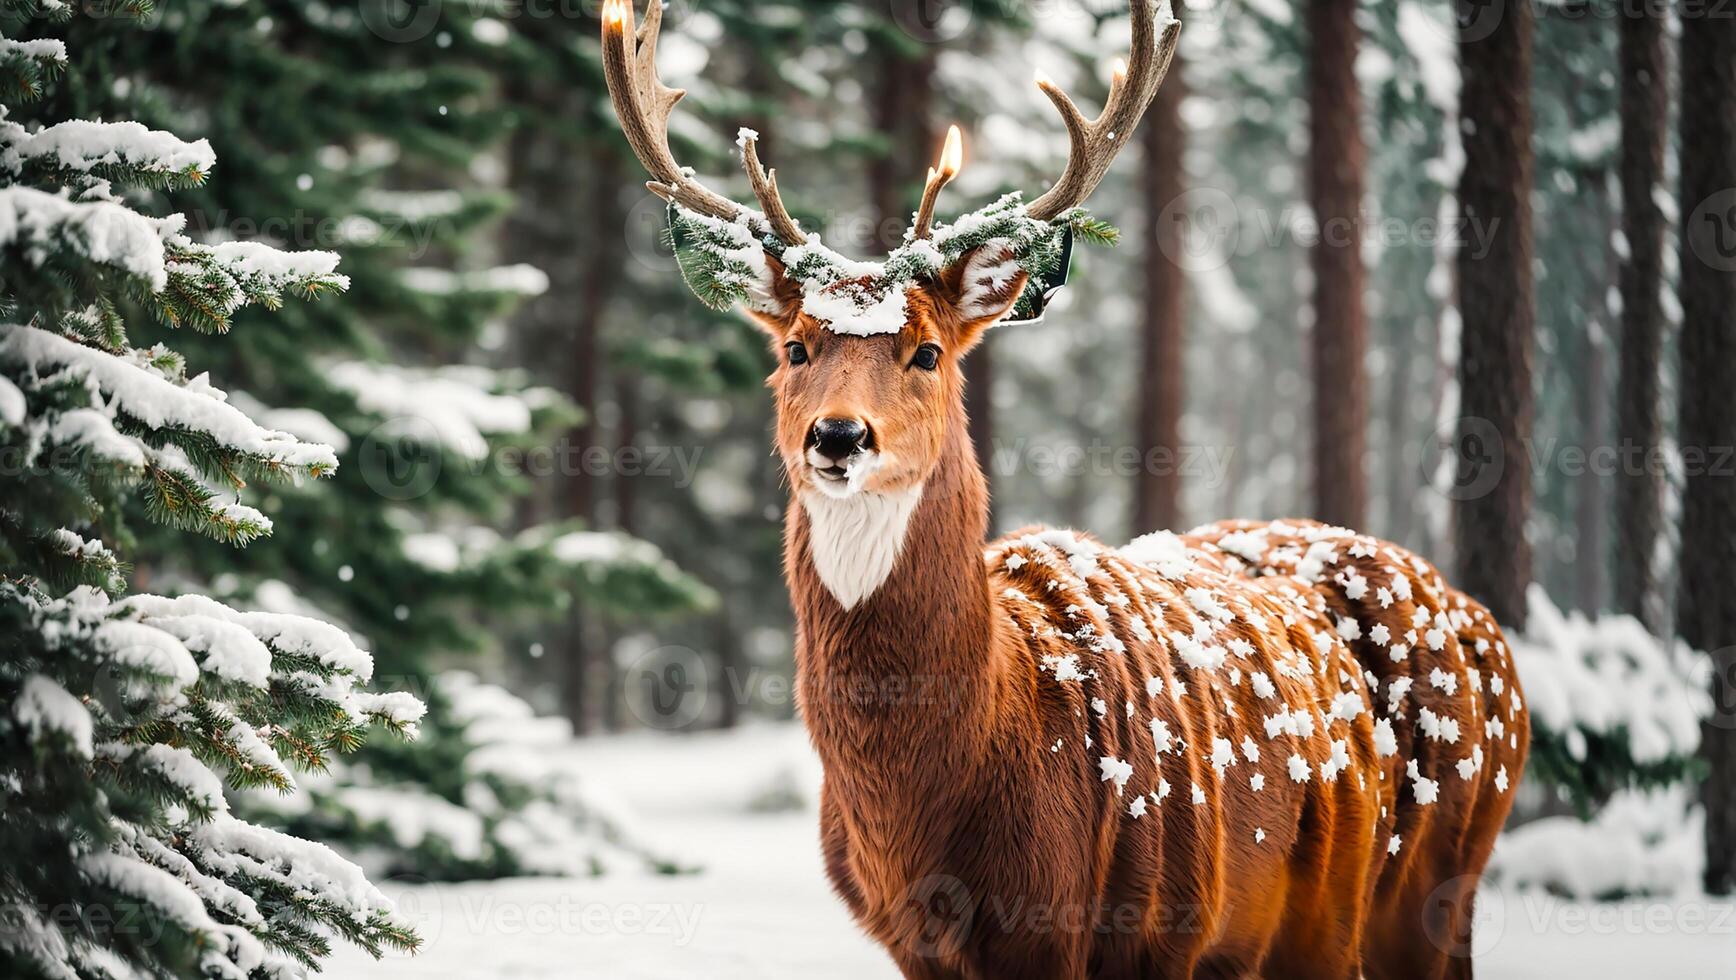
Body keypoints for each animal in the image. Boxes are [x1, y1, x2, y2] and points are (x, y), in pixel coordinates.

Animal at [604, 3, 1527, 971]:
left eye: (926, 351)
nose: (840, 435)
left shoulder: (1151, 920)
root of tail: (1484, 628)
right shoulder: (912, 945)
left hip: (1432, 878)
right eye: (793, 347)